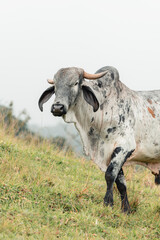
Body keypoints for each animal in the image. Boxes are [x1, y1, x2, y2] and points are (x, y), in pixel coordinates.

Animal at [38, 66, 160, 212]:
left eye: (75, 83)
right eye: (55, 85)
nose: (57, 107)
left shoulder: (124, 147)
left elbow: (110, 175)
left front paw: (108, 203)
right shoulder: (110, 153)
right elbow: (121, 182)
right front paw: (126, 210)